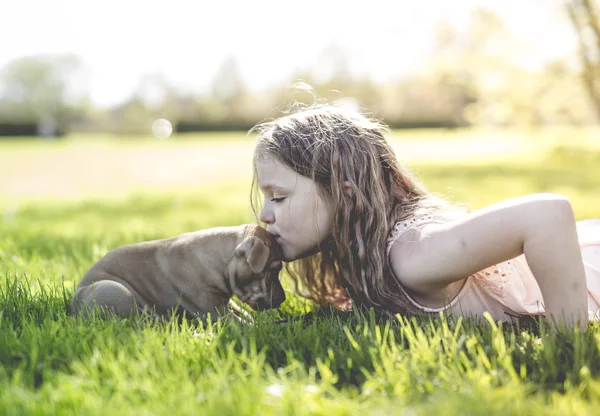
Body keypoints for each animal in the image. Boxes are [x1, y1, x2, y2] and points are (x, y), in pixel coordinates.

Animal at [70, 224, 286, 318]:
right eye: (274, 270)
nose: (283, 298)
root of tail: (73, 307)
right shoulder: (214, 310)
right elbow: (240, 321)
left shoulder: (225, 302)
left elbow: (244, 313)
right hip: (115, 290)